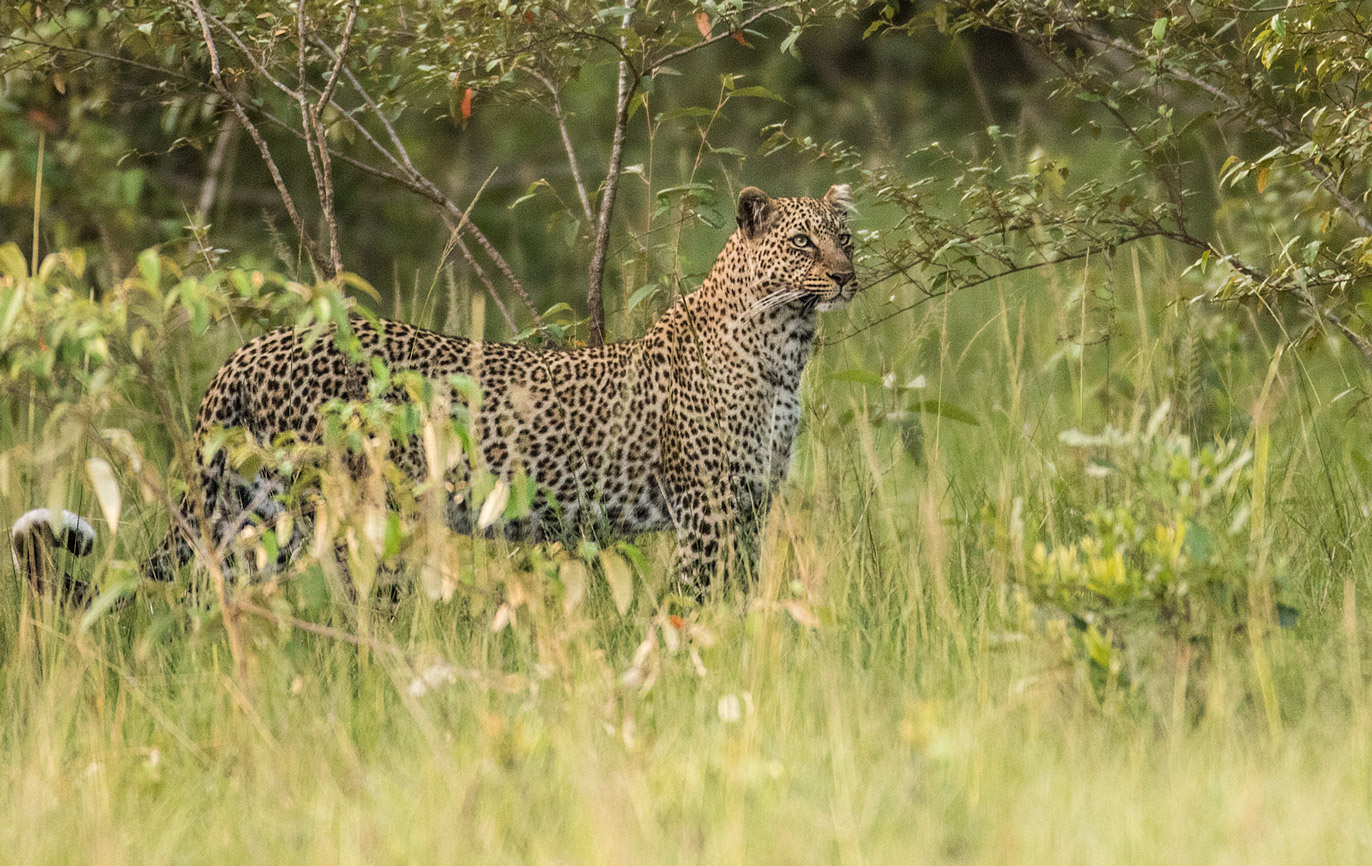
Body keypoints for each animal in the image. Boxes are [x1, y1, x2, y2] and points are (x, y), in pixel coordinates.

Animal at [10, 186, 856, 598]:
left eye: (844, 237)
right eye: (801, 243)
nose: (848, 275)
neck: (787, 347)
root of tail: (252, 347)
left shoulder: (751, 505)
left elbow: (740, 595)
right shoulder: (707, 509)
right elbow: (695, 604)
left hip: (259, 509)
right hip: (351, 514)